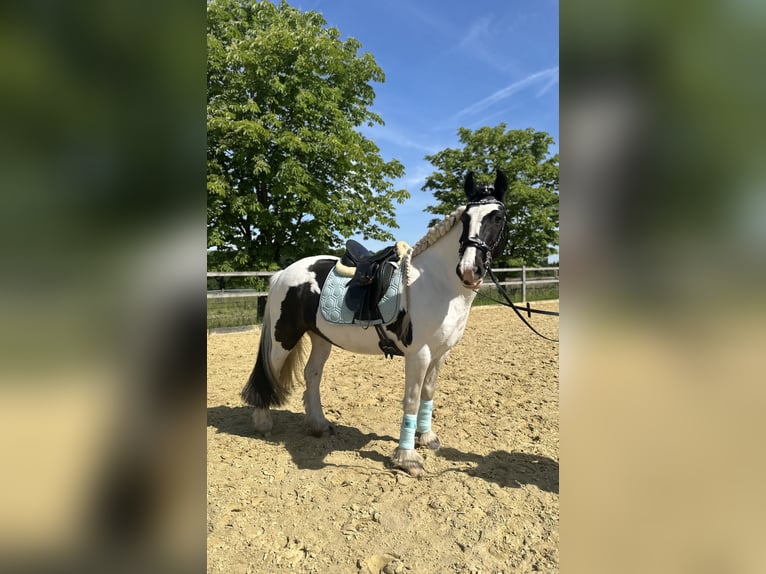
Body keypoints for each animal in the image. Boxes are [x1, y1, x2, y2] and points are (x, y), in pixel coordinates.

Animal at [241, 169, 508, 476]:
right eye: (466, 218)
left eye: (498, 217)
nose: (468, 270)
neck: (437, 284)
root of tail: (283, 273)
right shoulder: (419, 354)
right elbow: (412, 399)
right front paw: (408, 458)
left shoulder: (440, 353)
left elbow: (428, 393)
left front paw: (427, 438)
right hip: (283, 338)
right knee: (269, 372)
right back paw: (263, 423)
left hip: (320, 338)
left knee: (312, 375)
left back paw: (319, 425)